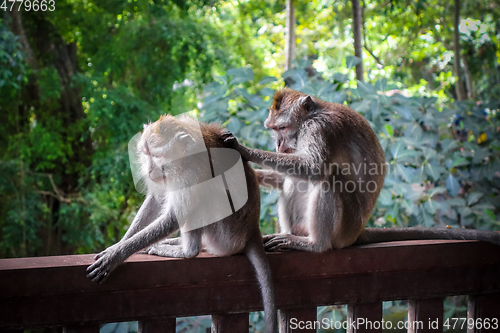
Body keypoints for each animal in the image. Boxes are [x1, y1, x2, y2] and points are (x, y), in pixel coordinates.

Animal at [88, 114, 280, 332]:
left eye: (157, 156)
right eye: (146, 154)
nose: (149, 170)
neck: (184, 156)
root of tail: (251, 231)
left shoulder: (191, 171)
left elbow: (174, 215)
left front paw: (116, 255)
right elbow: (156, 198)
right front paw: (119, 243)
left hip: (225, 237)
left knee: (202, 200)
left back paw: (187, 250)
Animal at [222, 87, 500, 252]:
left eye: (281, 128)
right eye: (272, 130)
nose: (278, 145)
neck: (310, 118)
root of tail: (357, 232)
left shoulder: (320, 129)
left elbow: (314, 168)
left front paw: (244, 150)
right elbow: (290, 177)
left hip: (345, 225)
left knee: (329, 177)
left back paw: (315, 244)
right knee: (295, 181)